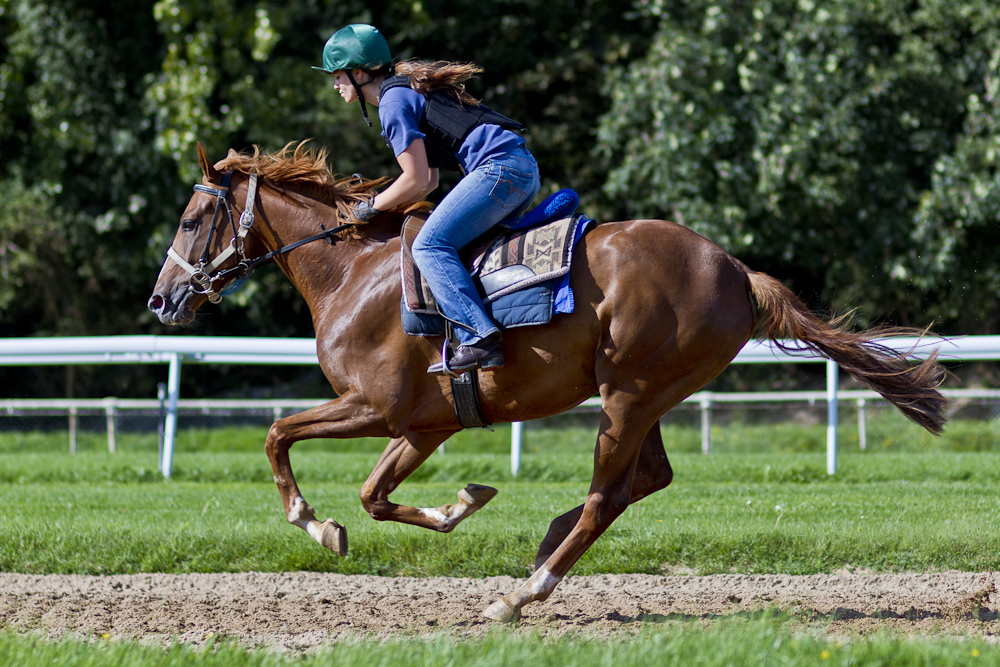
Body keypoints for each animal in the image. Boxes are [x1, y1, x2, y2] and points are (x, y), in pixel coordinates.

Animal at [146, 144, 944, 624]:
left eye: (189, 219)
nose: (160, 300)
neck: (351, 271)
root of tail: (736, 271)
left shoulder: (373, 405)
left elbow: (277, 433)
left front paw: (314, 521)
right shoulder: (424, 423)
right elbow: (374, 495)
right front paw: (458, 504)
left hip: (628, 393)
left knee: (607, 496)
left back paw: (523, 592)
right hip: (648, 396)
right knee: (646, 478)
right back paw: (544, 547)